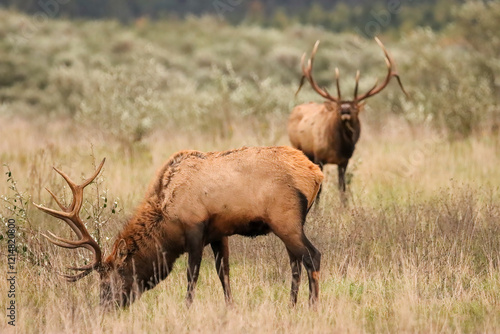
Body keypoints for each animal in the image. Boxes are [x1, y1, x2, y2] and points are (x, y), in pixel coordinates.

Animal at [35, 147, 324, 310]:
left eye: (107, 284)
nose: (102, 310)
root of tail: (316, 174)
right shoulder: (219, 233)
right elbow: (224, 273)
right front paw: (230, 308)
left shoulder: (195, 228)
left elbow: (191, 275)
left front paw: (187, 309)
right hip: (287, 224)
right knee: (296, 263)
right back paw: (291, 306)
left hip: (285, 219)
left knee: (312, 256)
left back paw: (312, 307)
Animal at [288, 37, 408, 196]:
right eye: (339, 107)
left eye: (355, 108)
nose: (345, 109)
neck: (339, 147)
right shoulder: (319, 156)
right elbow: (320, 189)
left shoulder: (344, 161)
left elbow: (342, 188)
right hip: (298, 147)